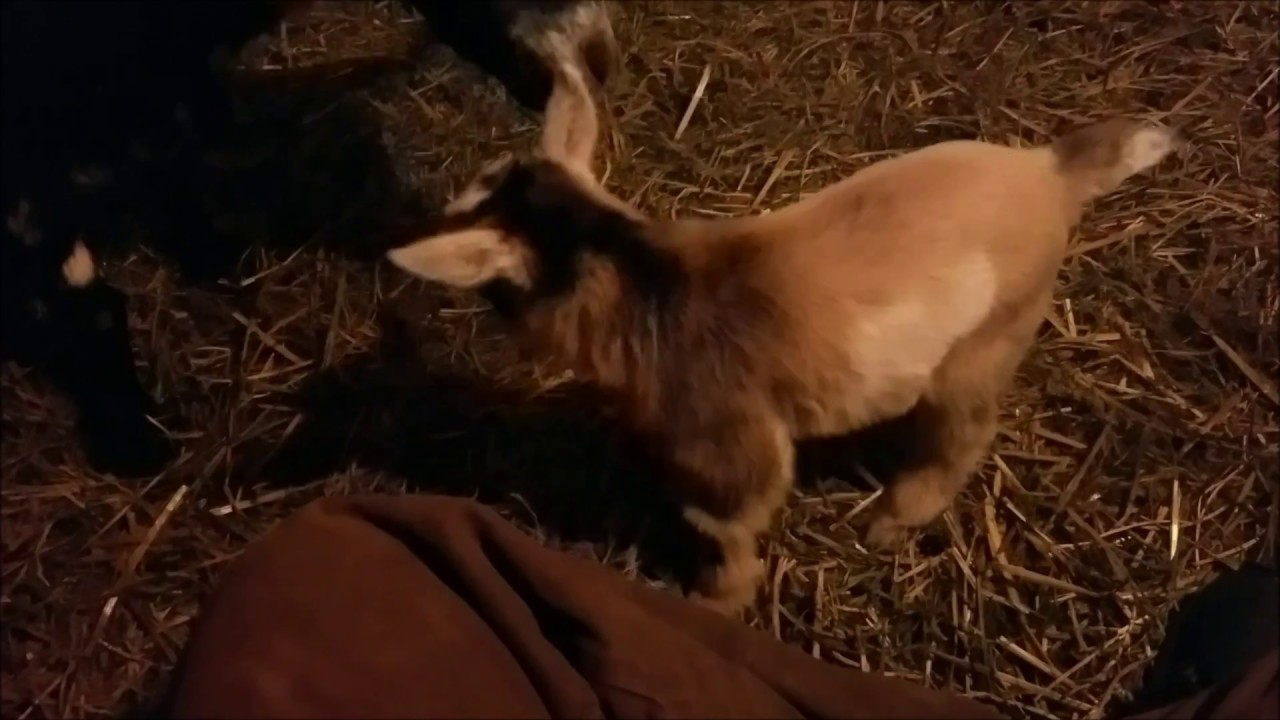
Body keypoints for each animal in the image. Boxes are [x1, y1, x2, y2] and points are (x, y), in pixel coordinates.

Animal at [384, 61, 1181, 614]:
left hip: (989, 339)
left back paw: (891, 521)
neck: (647, 288)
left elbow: (730, 521)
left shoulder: (730, 449)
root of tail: (1049, 170)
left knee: (964, 433)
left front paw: (714, 602)